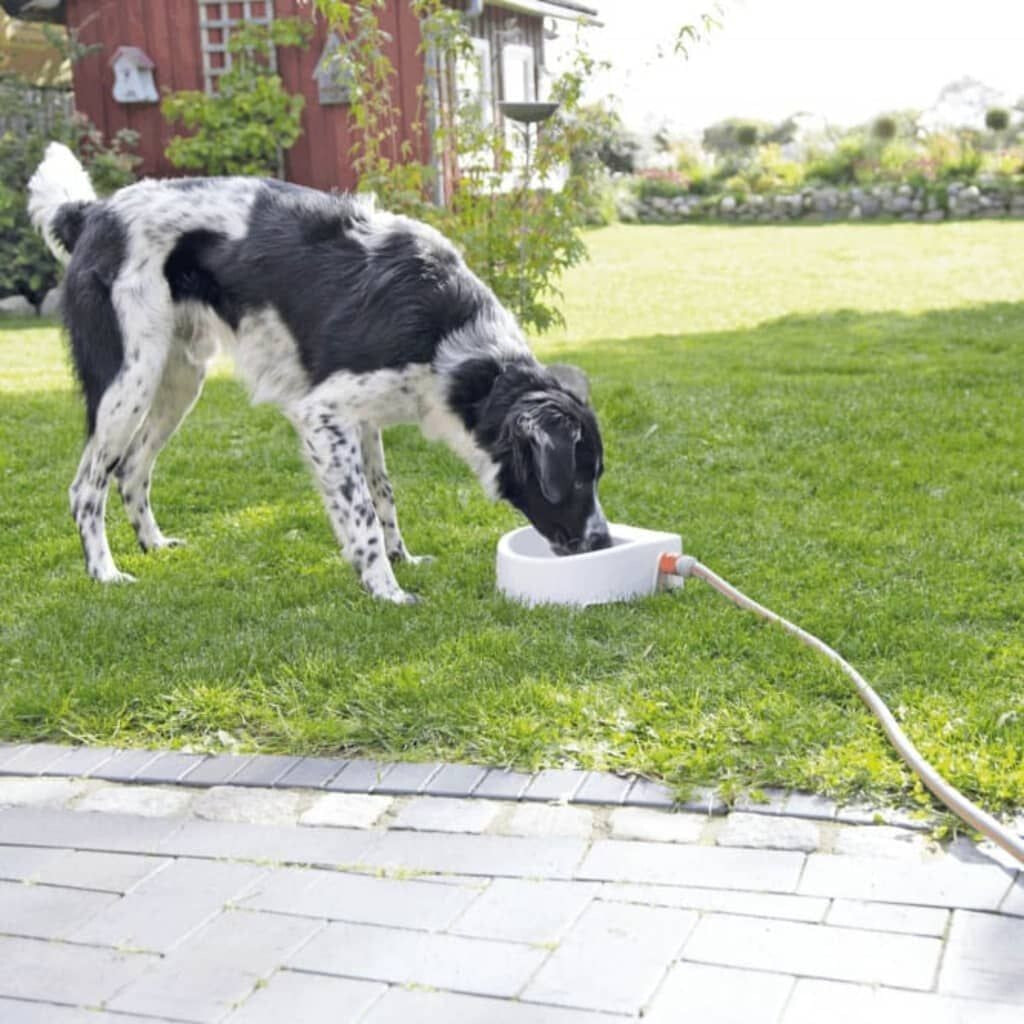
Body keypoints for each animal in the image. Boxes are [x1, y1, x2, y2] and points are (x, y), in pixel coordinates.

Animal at [29, 144, 606, 598]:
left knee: (130, 469)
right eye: (579, 476)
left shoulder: (364, 418)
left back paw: (153, 546)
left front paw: (401, 559)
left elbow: (382, 494)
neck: (457, 345)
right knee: (86, 486)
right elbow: (362, 513)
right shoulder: (323, 413)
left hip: (178, 380)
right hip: (129, 379)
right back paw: (105, 572)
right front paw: (386, 589)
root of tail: (94, 212)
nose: (602, 541)